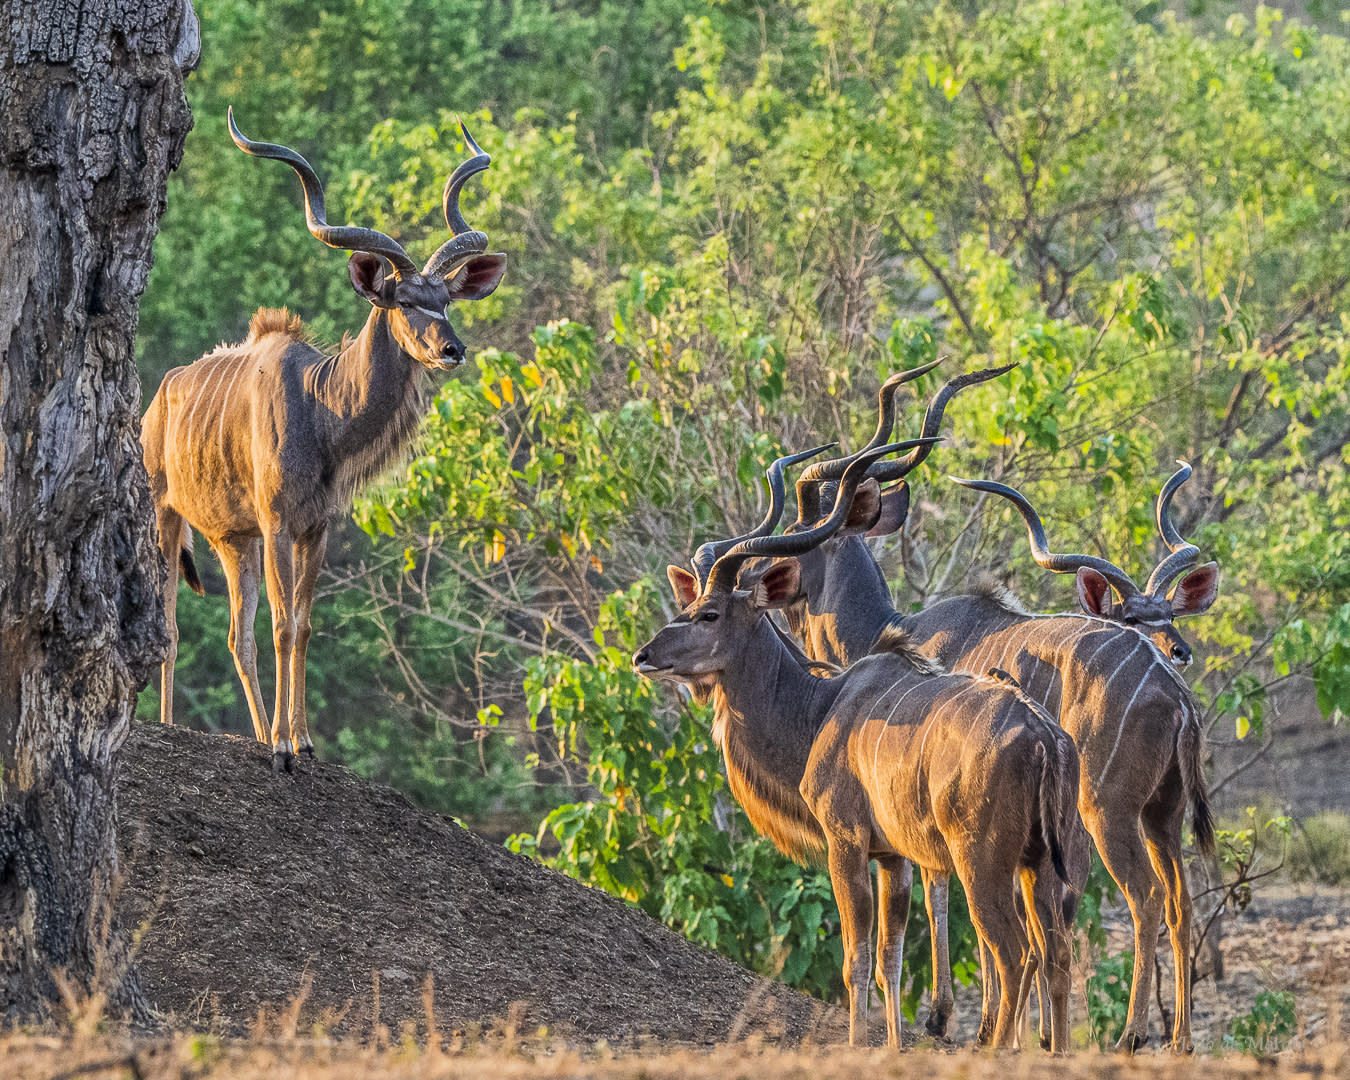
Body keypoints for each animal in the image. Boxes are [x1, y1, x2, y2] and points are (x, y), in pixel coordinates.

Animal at [143, 109, 507, 772]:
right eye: (404, 300)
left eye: (446, 299)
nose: (452, 349)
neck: (320, 406)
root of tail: (157, 401)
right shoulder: (277, 522)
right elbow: (286, 624)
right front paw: (285, 748)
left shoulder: (315, 527)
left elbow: (304, 624)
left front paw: (302, 741)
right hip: (166, 516)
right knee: (173, 626)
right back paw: (172, 726)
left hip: (232, 540)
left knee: (237, 634)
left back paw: (260, 732)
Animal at [634, 442, 1085, 1053]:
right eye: (691, 604)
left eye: (710, 613)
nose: (644, 656)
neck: (822, 705)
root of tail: (1045, 738)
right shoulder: (894, 857)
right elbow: (888, 959)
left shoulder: (845, 843)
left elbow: (856, 959)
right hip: (1038, 867)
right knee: (1056, 954)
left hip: (982, 865)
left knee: (1013, 955)